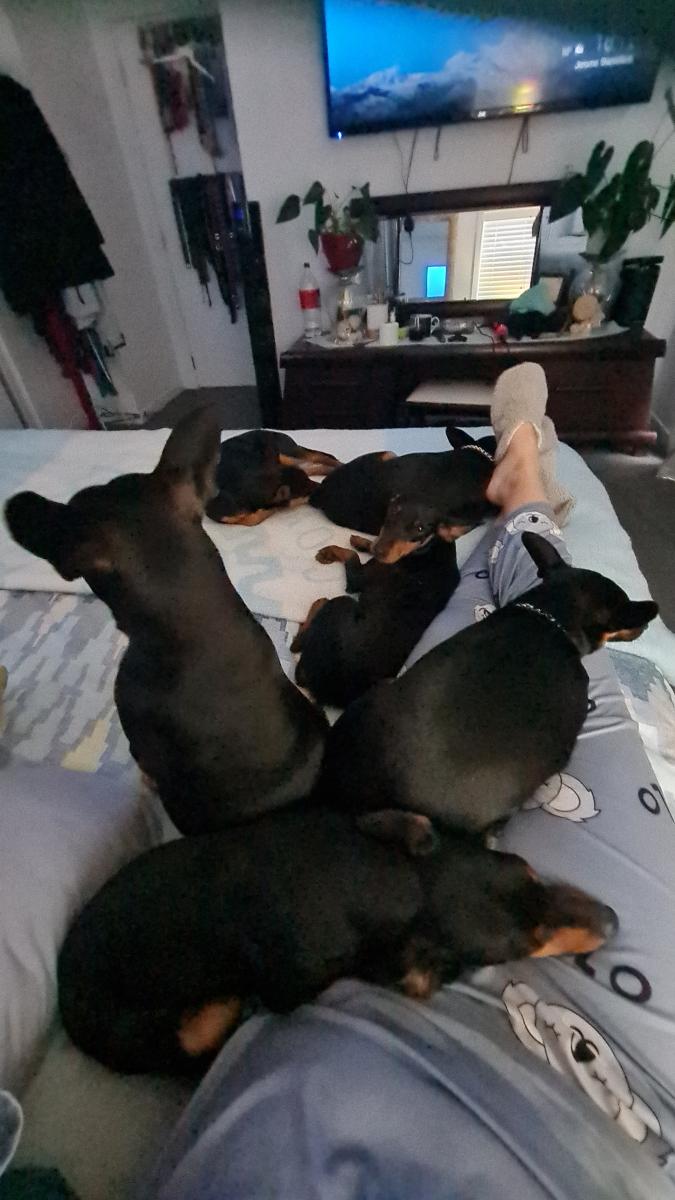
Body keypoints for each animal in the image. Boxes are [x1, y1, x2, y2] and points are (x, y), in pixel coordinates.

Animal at [57, 804, 616, 1075]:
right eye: (526, 943)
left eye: (532, 874)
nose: (613, 921)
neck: (392, 882)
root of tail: (65, 997)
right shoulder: (295, 983)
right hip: (168, 1030)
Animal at [206, 429, 341, 525]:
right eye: (307, 492)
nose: (321, 486)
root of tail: (269, 431)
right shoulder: (218, 513)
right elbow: (251, 520)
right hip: (284, 460)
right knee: (311, 466)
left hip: (285, 454)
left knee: (320, 457)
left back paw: (339, 465)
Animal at [291, 536, 460, 708]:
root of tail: (323, 694)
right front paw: (362, 542)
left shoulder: (358, 578)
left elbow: (352, 555)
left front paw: (330, 552)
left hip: (341, 604)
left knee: (296, 644)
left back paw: (318, 604)